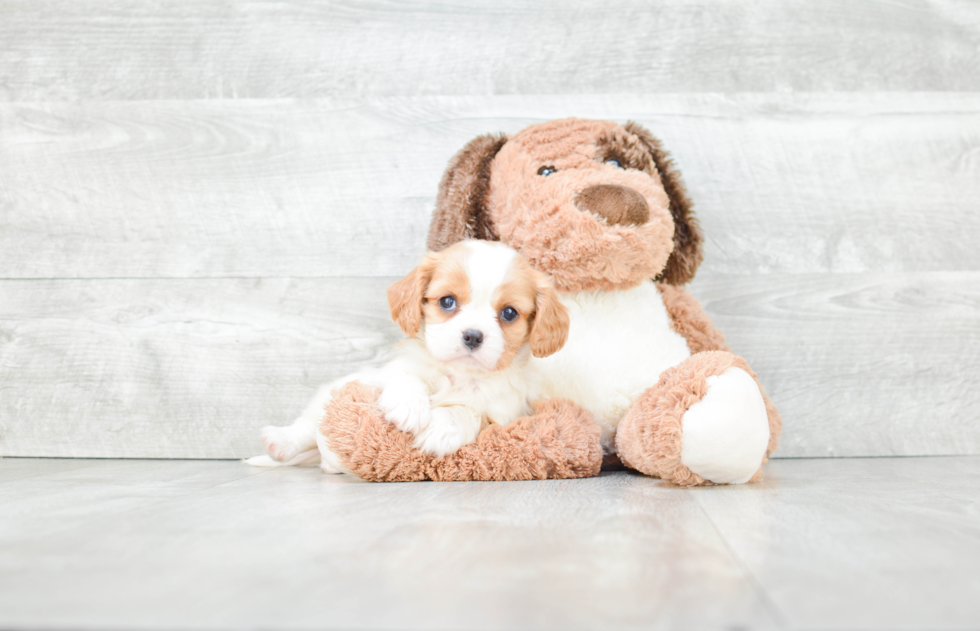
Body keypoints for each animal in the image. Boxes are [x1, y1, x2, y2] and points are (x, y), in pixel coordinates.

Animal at [253, 239, 572, 472]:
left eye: (509, 313)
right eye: (447, 301)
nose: (472, 336)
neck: (459, 375)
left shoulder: (505, 417)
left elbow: (470, 411)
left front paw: (442, 427)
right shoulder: (386, 374)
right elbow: (405, 375)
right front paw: (408, 405)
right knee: (309, 426)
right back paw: (279, 441)